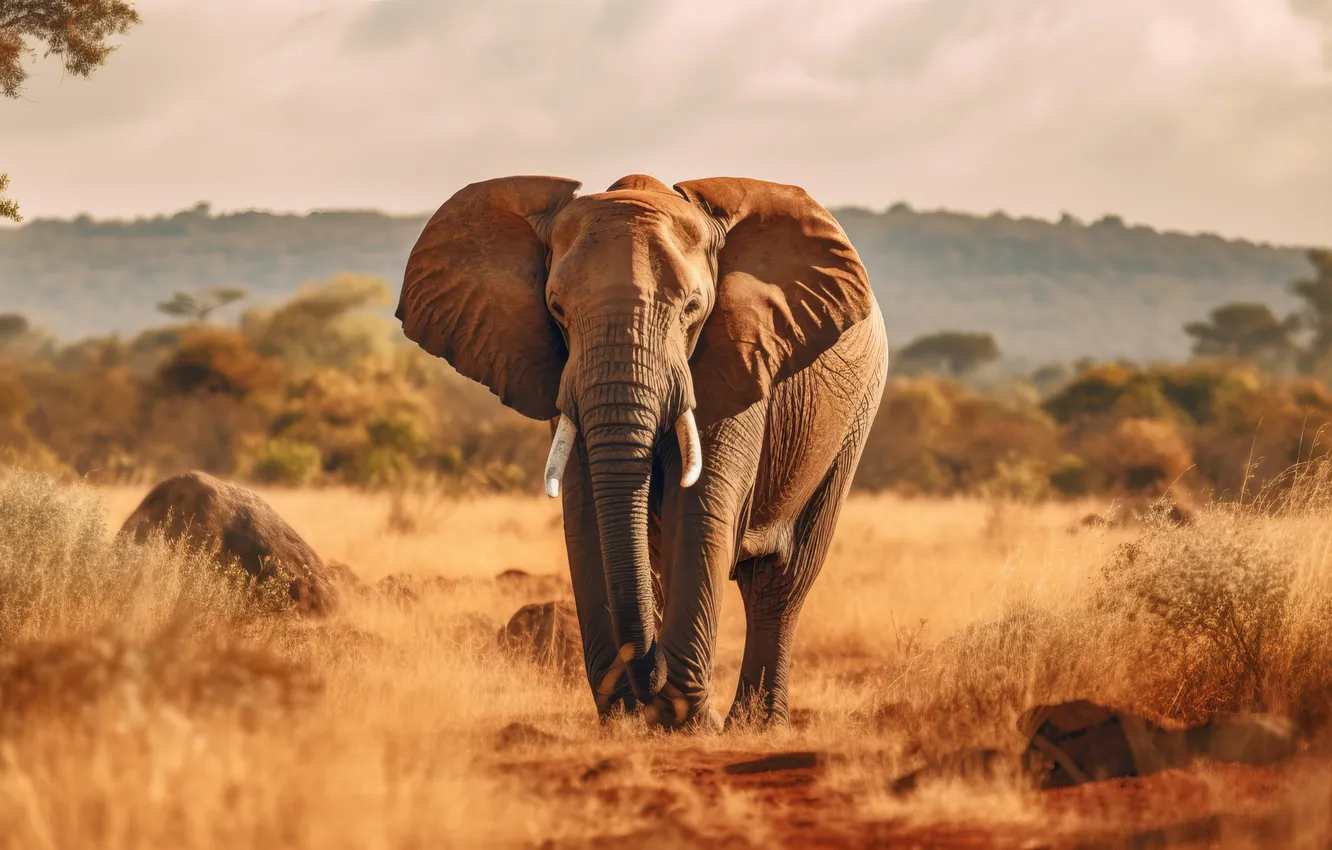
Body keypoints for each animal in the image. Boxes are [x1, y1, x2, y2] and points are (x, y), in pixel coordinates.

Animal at [395, 173, 887, 730]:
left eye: (694, 308)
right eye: (557, 308)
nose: (648, 679)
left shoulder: (739, 356)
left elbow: (698, 510)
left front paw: (687, 720)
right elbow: (587, 516)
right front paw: (630, 716)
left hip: (853, 418)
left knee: (781, 581)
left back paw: (756, 725)